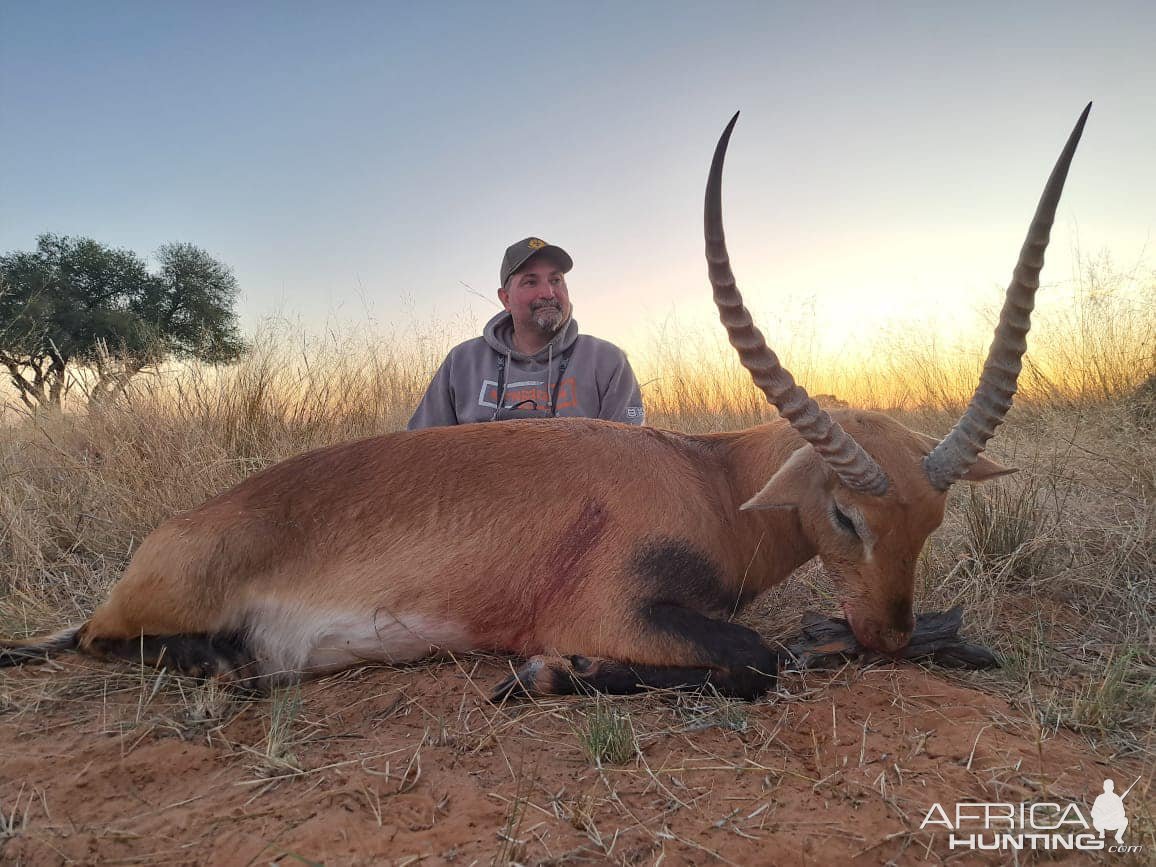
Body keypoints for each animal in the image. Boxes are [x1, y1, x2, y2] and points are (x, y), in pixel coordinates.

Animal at [0, 106, 1086, 698]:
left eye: (931, 518)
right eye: (845, 514)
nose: (888, 634)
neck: (703, 474)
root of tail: (168, 535)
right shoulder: (616, 609)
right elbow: (757, 659)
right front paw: (555, 674)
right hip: (144, 614)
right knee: (96, 643)